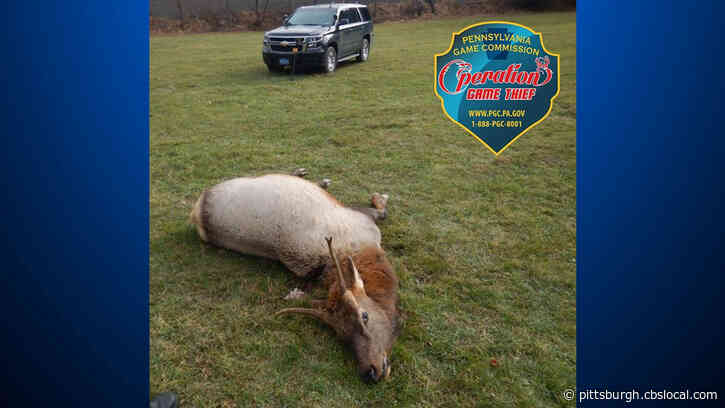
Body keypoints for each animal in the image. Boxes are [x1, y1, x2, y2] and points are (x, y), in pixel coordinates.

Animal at [189, 168, 400, 383]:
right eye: (341, 333)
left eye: (364, 316)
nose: (370, 371)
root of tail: (196, 210)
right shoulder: (363, 219)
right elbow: (382, 212)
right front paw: (380, 197)